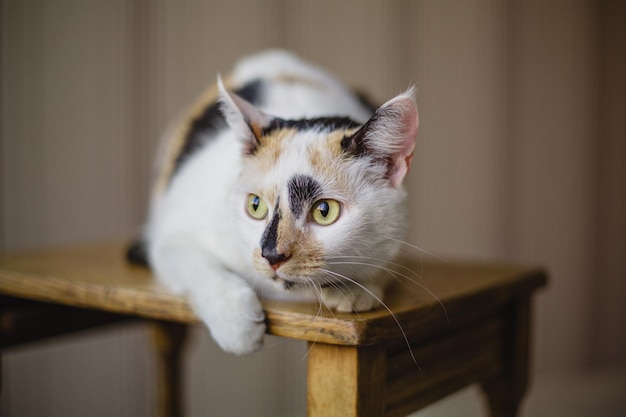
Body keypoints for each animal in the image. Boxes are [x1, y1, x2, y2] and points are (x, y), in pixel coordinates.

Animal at [129, 49, 416, 354]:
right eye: (255, 206)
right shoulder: (170, 237)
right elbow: (197, 267)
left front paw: (353, 290)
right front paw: (237, 325)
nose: (271, 255)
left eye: (324, 211)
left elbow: (386, 265)